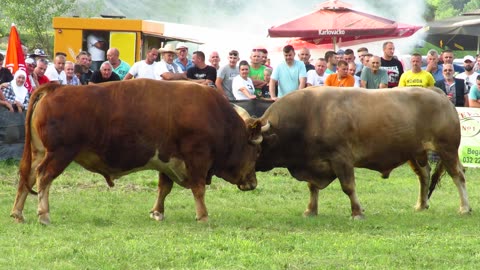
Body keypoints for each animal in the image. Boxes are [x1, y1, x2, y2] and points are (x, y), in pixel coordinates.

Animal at [11, 78, 266, 224]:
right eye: (256, 153)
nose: (253, 183)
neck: (217, 117)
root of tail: (56, 88)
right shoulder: (197, 158)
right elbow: (199, 189)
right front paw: (203, 216)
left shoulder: (167, 160)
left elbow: (164, 188)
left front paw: (157, 212)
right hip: (59, 154)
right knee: (43, 177)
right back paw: (44, 214)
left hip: (39, 153)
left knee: (27, 177)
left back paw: (17, 213)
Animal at [253, 87, 470, 219]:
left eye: (256, 147)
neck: (309, 116)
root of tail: (436, 92)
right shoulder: (314, 162)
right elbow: (312, 187)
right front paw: (310, 210)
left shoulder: (342, 159)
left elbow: (348, 187)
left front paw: (357, 212)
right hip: (415, 153)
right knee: (424, 176)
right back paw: (421, 204)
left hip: (447, 149)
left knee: (458, 176)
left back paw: (465, 207)